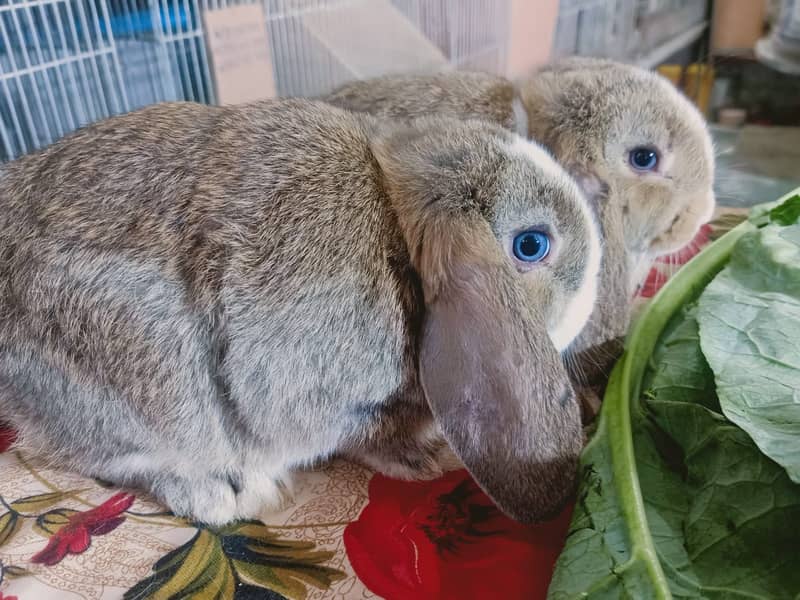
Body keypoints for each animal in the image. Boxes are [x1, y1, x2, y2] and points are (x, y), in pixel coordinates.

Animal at [0, 98, 600, 524]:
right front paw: (427, 461)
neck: (396, 226)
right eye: (531, 245)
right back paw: (225, 492)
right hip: (143, 379)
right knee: (107, 459)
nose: (598, 284)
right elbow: (367, 440)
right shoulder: (329, 399)